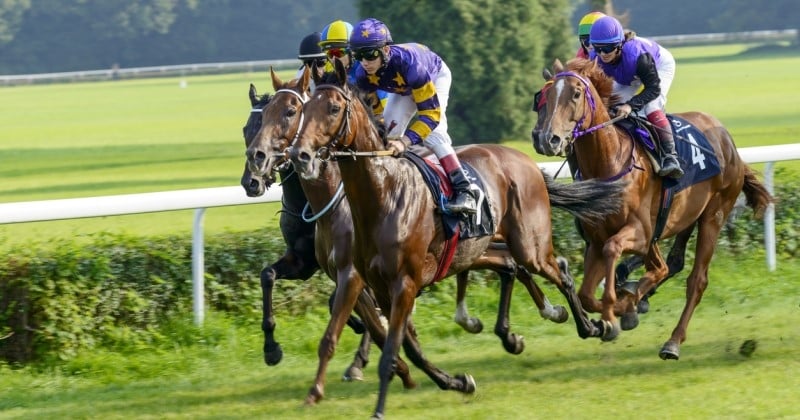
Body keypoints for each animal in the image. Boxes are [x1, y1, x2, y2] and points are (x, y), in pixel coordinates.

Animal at [284, 59, 628, 416]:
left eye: (334, 108)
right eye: (303, 109)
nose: (300, 154)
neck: (384, 194)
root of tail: (527, 162)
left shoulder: (403, 283)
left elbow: (392, 348)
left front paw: (379, 407)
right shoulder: (379, 287)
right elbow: (409, 348)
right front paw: (457, 382)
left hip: (530, 245)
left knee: (558, 271)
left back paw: (594, 325)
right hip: (479, 248)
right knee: (512, 266)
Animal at [532, 57, 776, 360]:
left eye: (576, 94)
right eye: (543, 96)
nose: (547, 139)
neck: (610, 162)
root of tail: (728, 142)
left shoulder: (639, 232)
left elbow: (616, 253)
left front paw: (617, 310)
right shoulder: (597, 240)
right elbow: (588, 294)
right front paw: (617, 313)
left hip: (713, 216)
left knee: (696, 280)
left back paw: (672, 341)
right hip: (684, 219)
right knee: (671, 263)